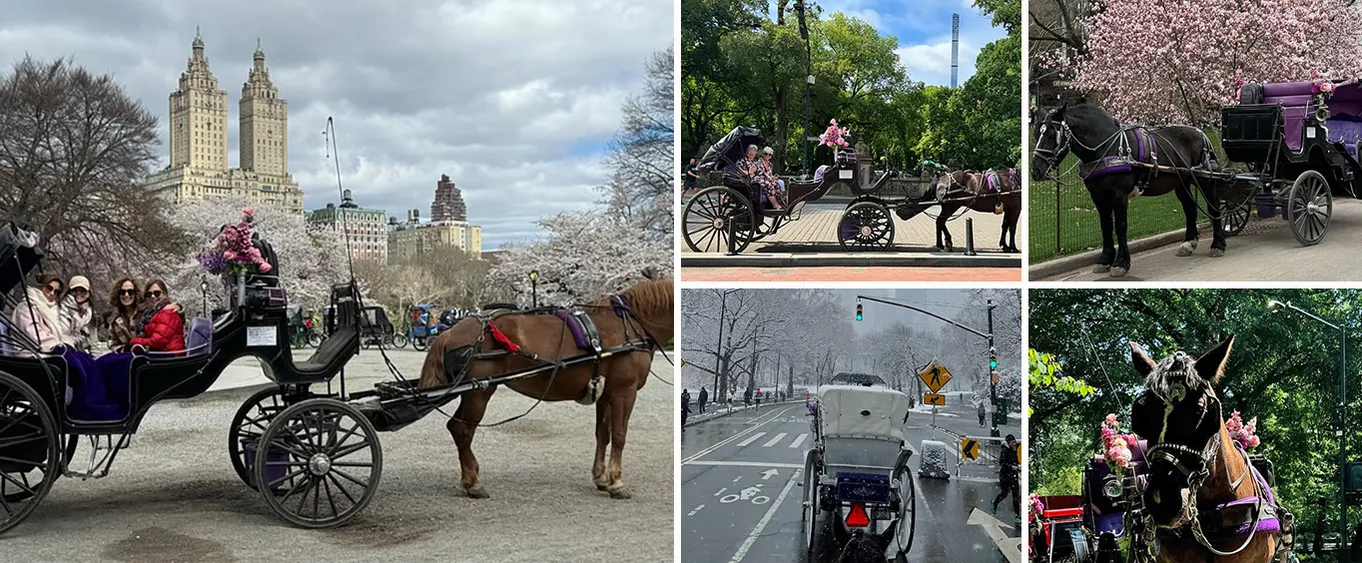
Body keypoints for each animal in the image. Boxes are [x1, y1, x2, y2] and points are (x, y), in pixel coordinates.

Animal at [414, 278, 670, 498]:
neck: (629, 325)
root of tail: (451, 331)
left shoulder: (606, 394)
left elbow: (603, 435)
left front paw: (601, 478)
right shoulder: (624, 392)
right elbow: (619, 436)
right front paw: (616, 482)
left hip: (471, 394)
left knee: (456, 428)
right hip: (479, 392)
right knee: (462, 430)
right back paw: (473, 483)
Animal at [1029, 104, 1225, 276]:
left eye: (1052, 135)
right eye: (1036, 133)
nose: (1035, 170)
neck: (1105, 145)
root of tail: (1200, 132)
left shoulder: (1119, 195)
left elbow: (1120, 226)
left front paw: (1121, 262)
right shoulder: (1098, 196)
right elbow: (1106, 226)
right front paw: (1105, 259)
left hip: (1205, 179)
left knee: (1213, 207)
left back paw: (1218, 244)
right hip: (1181, 181)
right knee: (1190, 209)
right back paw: (1188, 243)